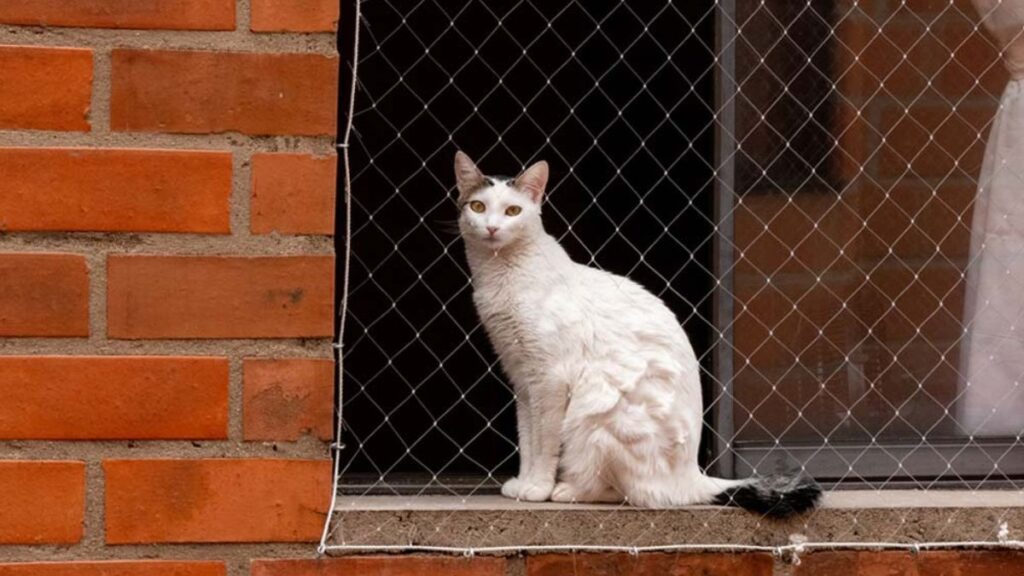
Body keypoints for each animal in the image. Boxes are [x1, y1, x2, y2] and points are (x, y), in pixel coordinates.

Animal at [452, 148, 819, 516]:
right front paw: (523, 482)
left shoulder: (550, 380)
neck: (501, 275)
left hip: (594, 416)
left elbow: (544, 443)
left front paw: (538, 487)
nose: (492, 227)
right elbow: (528, 439)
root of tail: (693, 476)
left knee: (632, 493)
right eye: (478, 207)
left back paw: (566, 490)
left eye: (513, 211)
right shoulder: (523, 381)